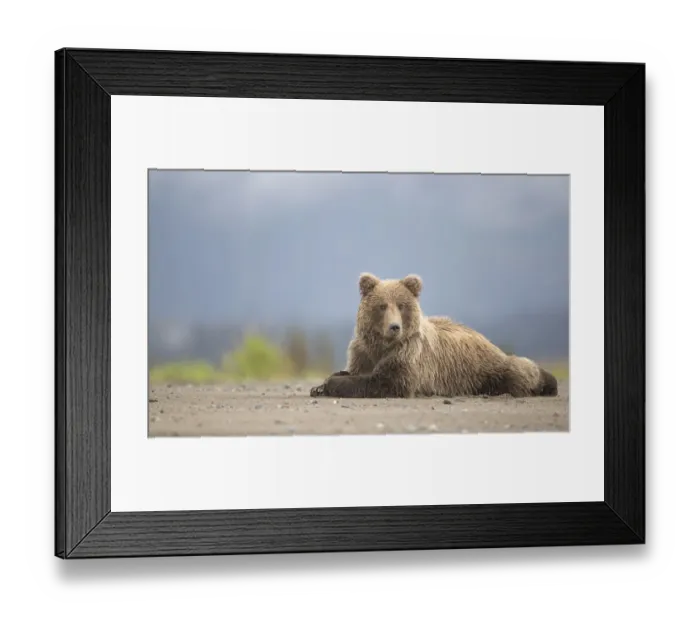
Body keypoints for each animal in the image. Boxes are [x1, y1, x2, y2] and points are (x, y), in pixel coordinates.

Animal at [310, 272, 558, 399]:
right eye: (382, 306)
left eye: (401, 305)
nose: (394, 327)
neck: (382, 346)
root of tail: (486, 339)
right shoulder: (362, 352)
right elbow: (355, 369)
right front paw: (321, 385)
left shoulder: (409, 356)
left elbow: (385, 382)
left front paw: (331, 383)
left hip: (486, 368)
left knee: (519, 369)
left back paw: (546, 383)